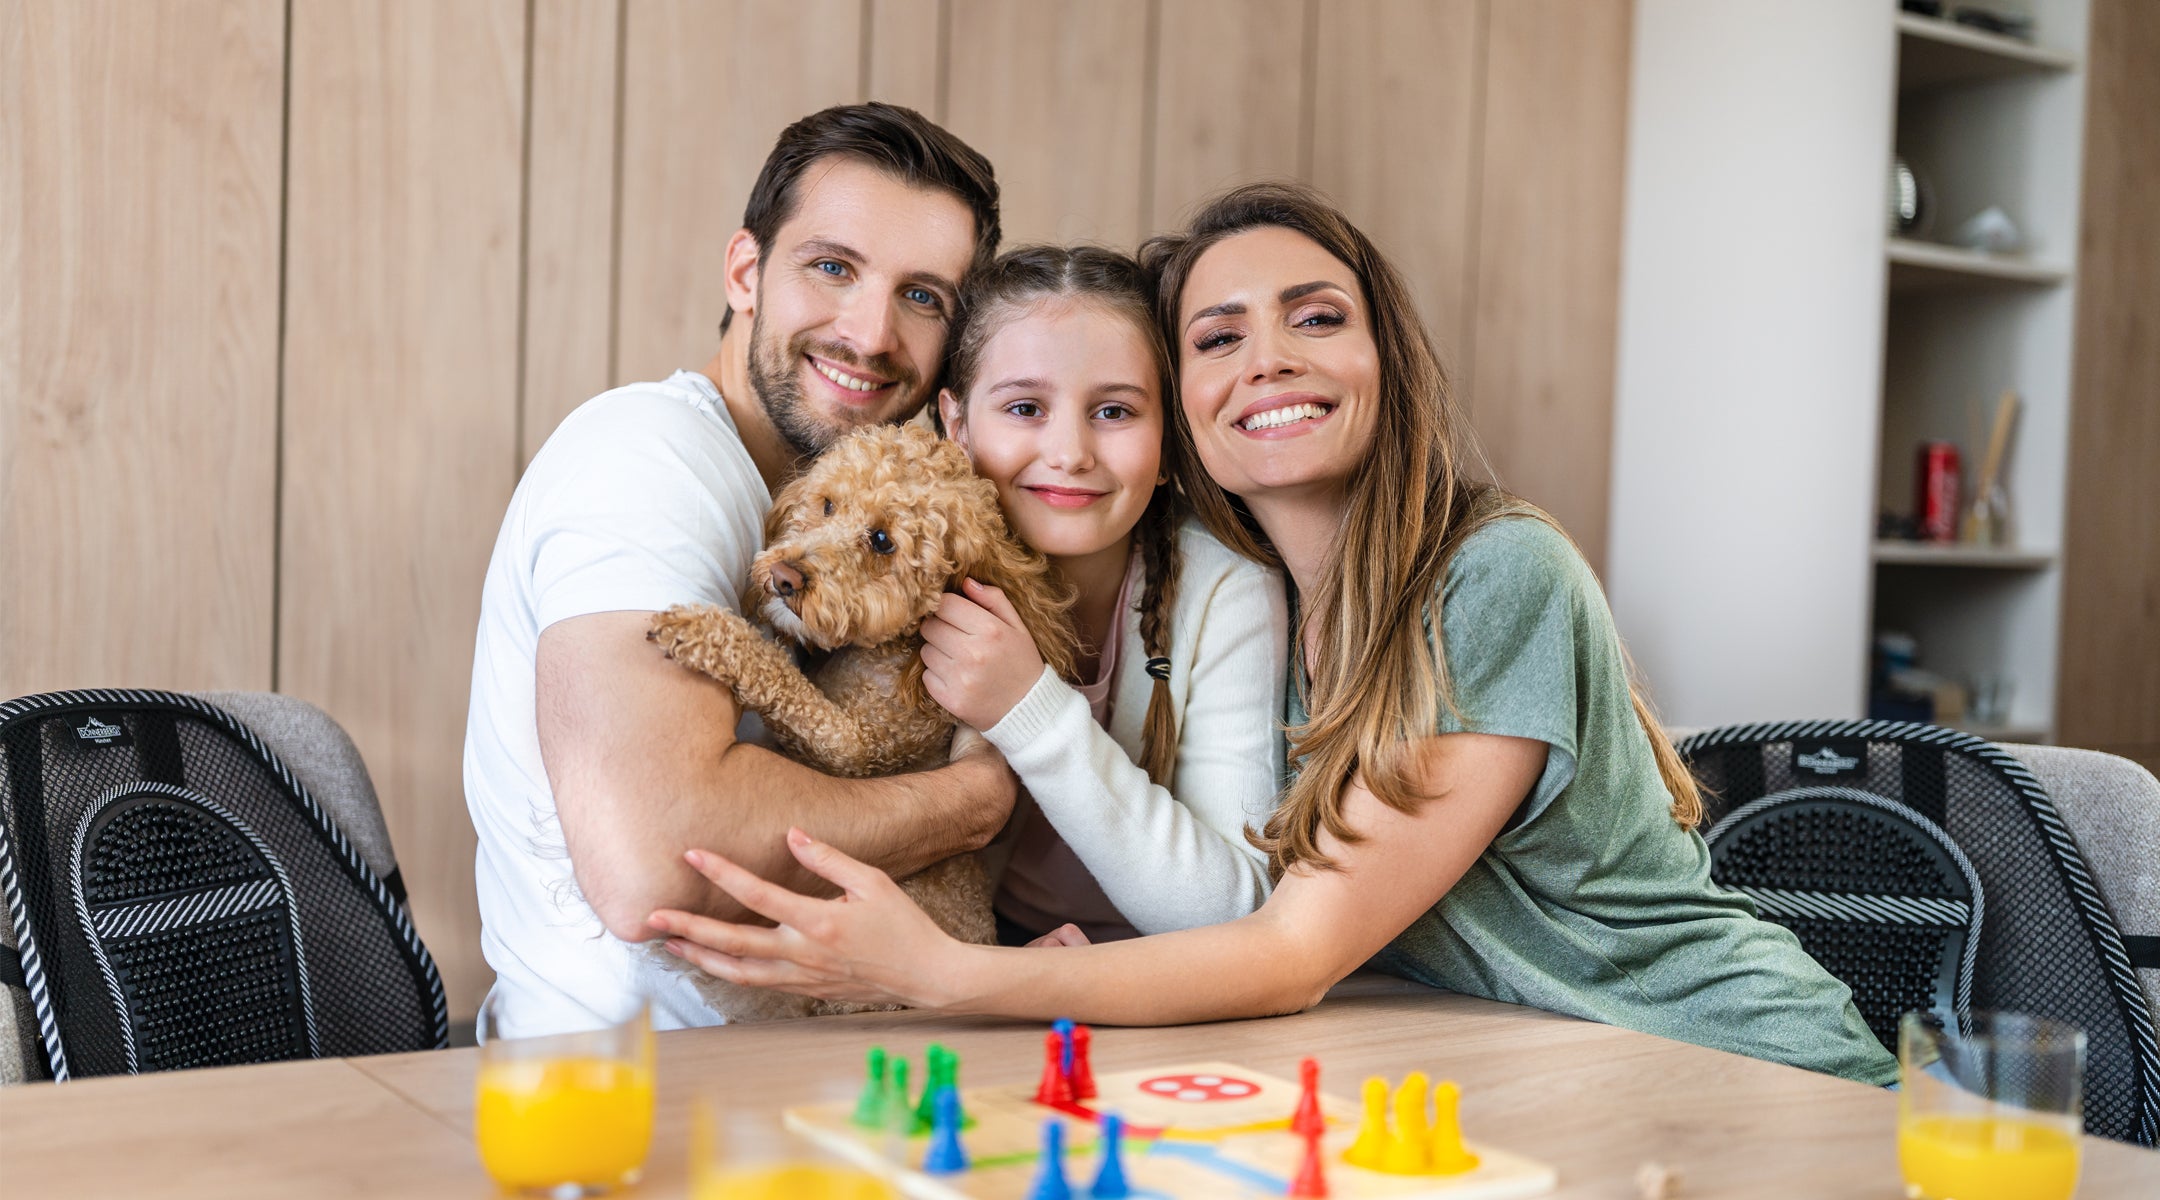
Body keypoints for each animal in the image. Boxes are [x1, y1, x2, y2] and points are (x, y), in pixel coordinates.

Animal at [643, 425, 1075, 1023]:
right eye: (827, 504)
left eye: (882, 541)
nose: (785, 577)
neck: (881, 651)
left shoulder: (857, 741)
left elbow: (781, 678)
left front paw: (703, 628)